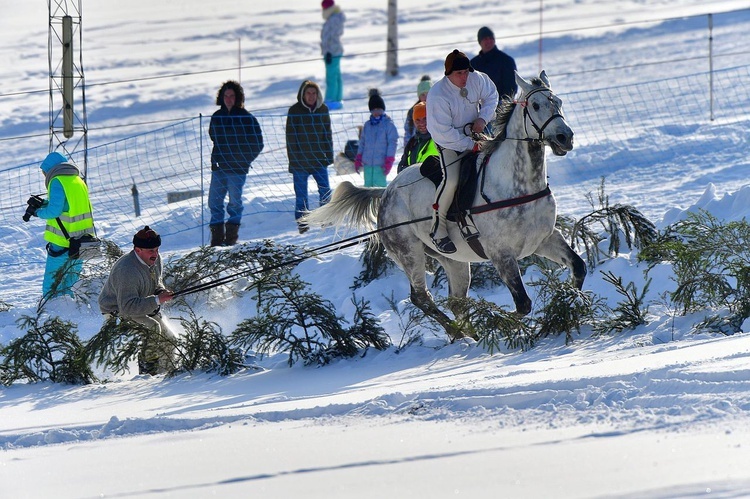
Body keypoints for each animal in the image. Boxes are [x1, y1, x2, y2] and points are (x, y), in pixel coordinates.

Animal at [306, 73, 588, 340]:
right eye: (537, 105)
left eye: (558, 102)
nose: (565, 137)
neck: (517, 185)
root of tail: (386, 192)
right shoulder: (502, 255)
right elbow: (522, 305)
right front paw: (500, 327)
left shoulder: (545, 240)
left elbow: (578, 267)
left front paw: (570, 307)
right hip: (410, 254)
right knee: (422, 297)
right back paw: (459, 332)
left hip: (455, 261)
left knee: (456, 301)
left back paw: (468, 332)